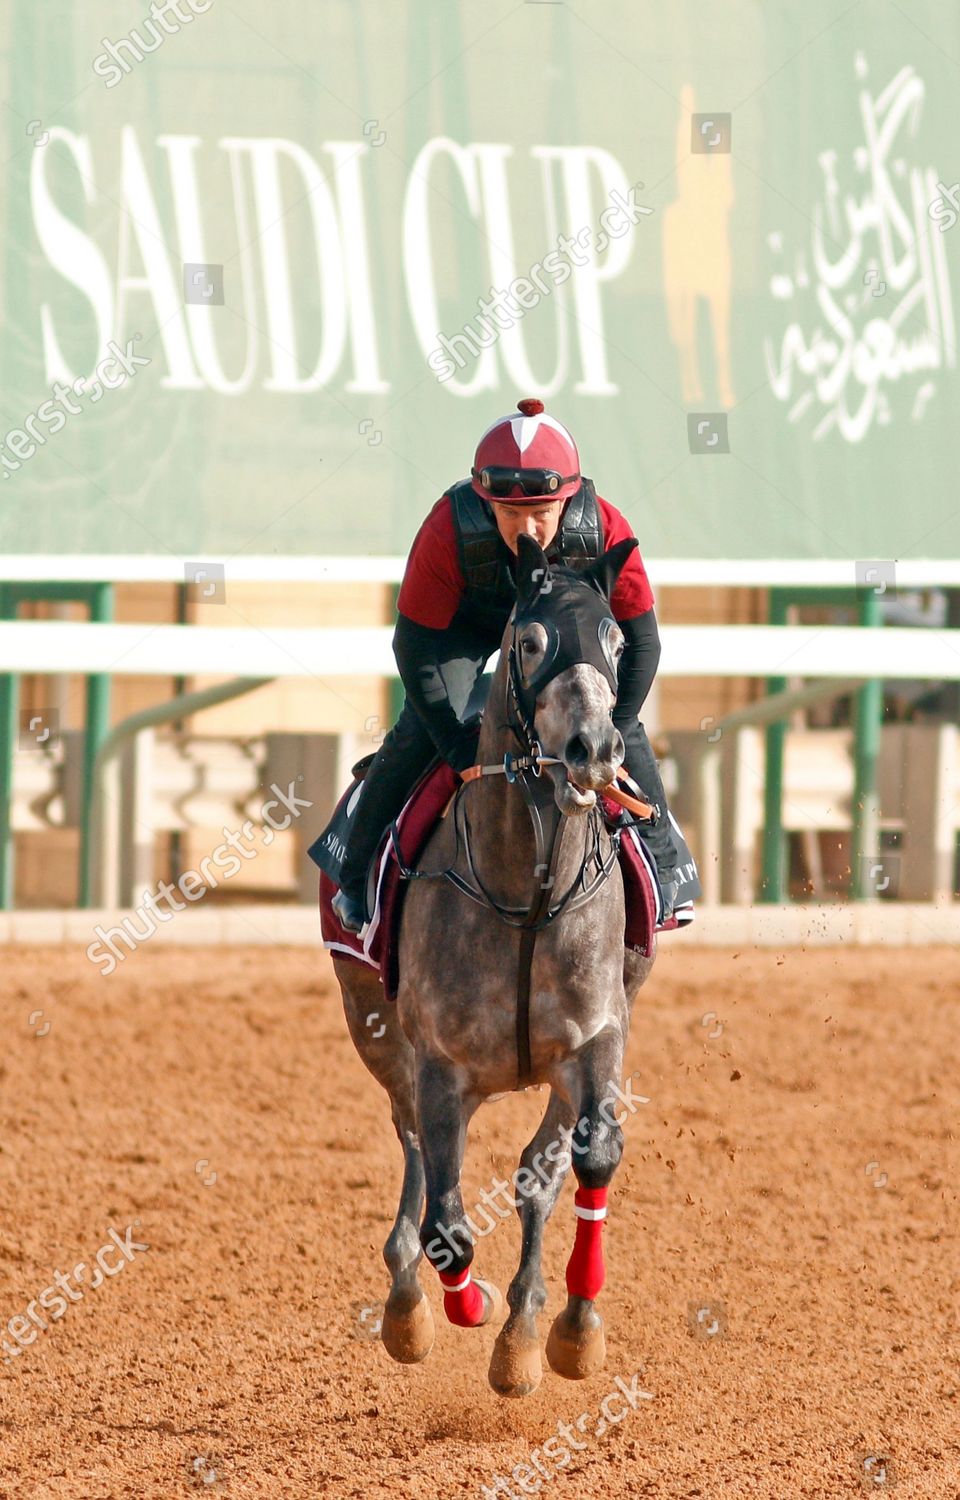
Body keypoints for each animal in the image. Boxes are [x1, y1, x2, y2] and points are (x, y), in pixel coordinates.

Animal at [333, 537, 657, 1392]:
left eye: (616, 642)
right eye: (531, 641)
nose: (595, 749)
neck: (528, 895)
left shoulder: (598, 1038)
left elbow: (588, 1160)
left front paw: (572, 1331)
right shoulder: (438, 1062)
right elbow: (446, 1221)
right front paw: (460, 1303)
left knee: (536, 1178)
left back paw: (522, 1332)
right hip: (378, 1035)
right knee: (416, 1153)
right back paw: (412, 1305)